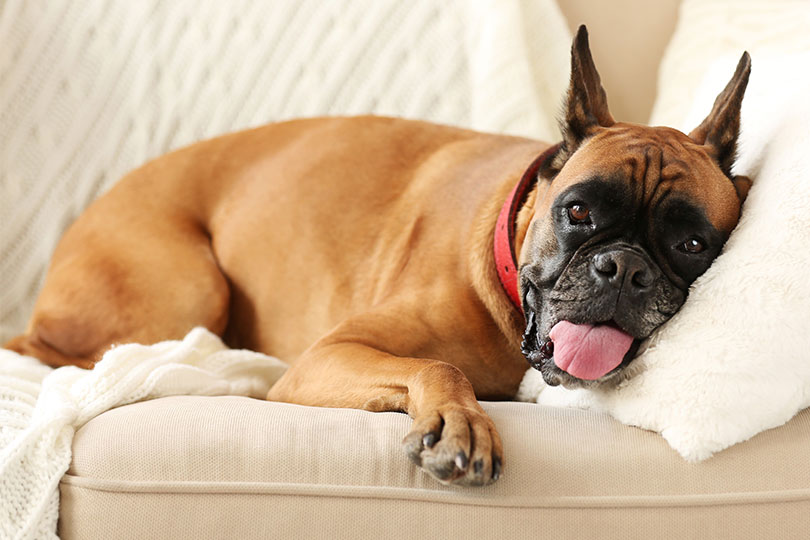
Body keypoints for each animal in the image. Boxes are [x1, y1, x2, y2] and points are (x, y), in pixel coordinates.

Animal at [4, 27, 752, 488]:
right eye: (579, 214)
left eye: (691, 245)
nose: (622, 268)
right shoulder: (328, 356)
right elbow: (438, 364)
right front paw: (459, 422)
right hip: (189, 288)